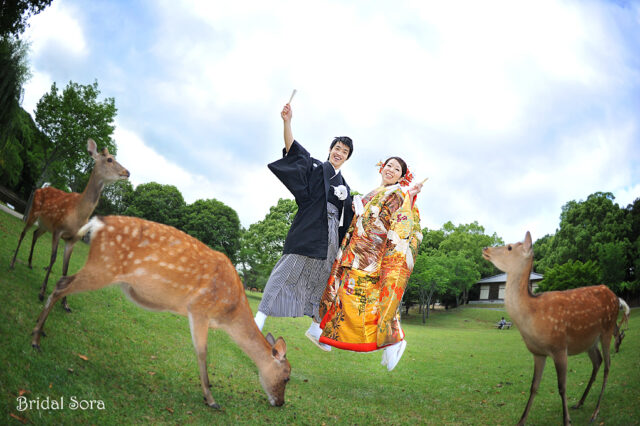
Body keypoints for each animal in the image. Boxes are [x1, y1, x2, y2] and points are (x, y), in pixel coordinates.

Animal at [9, 139, 129, 310]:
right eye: (109, 159)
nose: (127, 172)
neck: (78, 215)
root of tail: (39, 189)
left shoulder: (72, 239)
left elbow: (66, 267)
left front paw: (65, 303)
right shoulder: (58, 230)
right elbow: (53, 259)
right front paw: (42, 292)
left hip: (45, 225)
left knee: (35, 234)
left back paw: (30, 263)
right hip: (33, 212)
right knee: (23, 233)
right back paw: (13, 263)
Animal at [30, 216, 290, 410]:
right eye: (287, 375)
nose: (280, 403)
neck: (228, 313)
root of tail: (96, 222)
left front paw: (209, 394)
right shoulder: (199, 308)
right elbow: (202, 352)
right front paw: (211, 399)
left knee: (62, 281)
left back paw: (40, 332)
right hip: (103, 266)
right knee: (61, 283)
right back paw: (35, 339)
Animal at [482, 233, 628, 426]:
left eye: (509, 247)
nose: (485, 248)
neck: (532, 318)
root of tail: (616, 298)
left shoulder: (559, 347)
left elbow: (562, 387)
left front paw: (566, 420)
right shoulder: (538, 353)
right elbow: (534, 386)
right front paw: (521, 421)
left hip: (607, 329)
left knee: (608, 365)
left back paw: (595, 412)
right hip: (589, 340)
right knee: (598, 361)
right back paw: (580, 402)